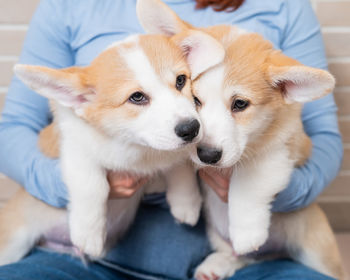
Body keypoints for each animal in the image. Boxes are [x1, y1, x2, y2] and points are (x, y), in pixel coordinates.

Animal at [137, 0, 344, 280]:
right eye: (194, 98)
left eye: (240, 104)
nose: (208, 155)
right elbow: (179, 161)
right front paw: (185, 202)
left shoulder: (282, 147)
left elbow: (247, 181)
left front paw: (246, 232)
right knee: (243, 258)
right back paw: (218, 264)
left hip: (317, 250)